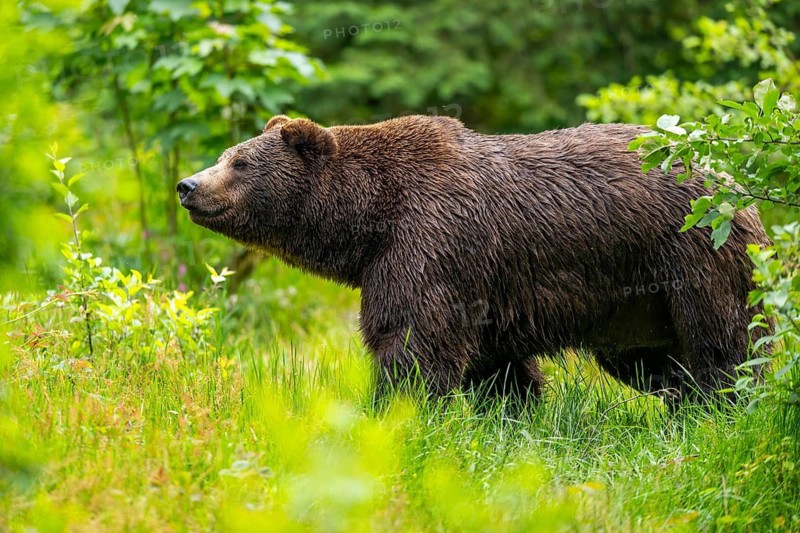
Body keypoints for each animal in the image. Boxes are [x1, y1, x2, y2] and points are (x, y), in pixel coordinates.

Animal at [177, 114, 770, 403]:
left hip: (694, 258)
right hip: (635, 304)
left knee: (724, 342)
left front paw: (397, 412)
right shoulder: (479, 287)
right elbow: (495, 366)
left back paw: (722, 405)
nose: (187, 185)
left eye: (240, 162)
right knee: (655, 361)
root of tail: (735, 181)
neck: (370, 218)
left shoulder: (431, 244)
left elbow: (410, 343)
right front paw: (512, 412)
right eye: (226, 155)